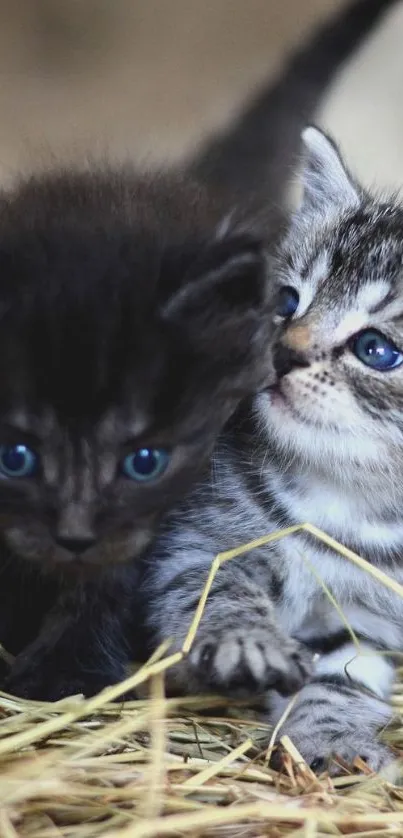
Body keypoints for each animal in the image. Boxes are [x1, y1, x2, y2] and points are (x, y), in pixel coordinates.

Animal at [144, 128, 403, 776]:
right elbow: (212, 588)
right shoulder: (193, 539)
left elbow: (344, 675)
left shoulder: (370, 618)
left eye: (376, 349)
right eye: (287, 302)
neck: (345, 499)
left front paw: (334, 740)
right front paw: (245, 640)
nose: (284, 352)